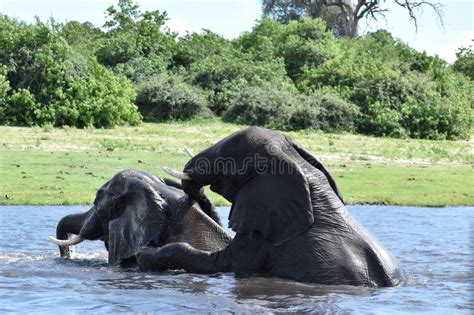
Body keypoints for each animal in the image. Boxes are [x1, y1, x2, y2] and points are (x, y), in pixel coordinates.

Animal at [137, 127, 408, 288]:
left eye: (225, 160)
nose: (194, 196)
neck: (297, 166)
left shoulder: (264, 227)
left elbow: (223, 263)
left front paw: (145, 254)